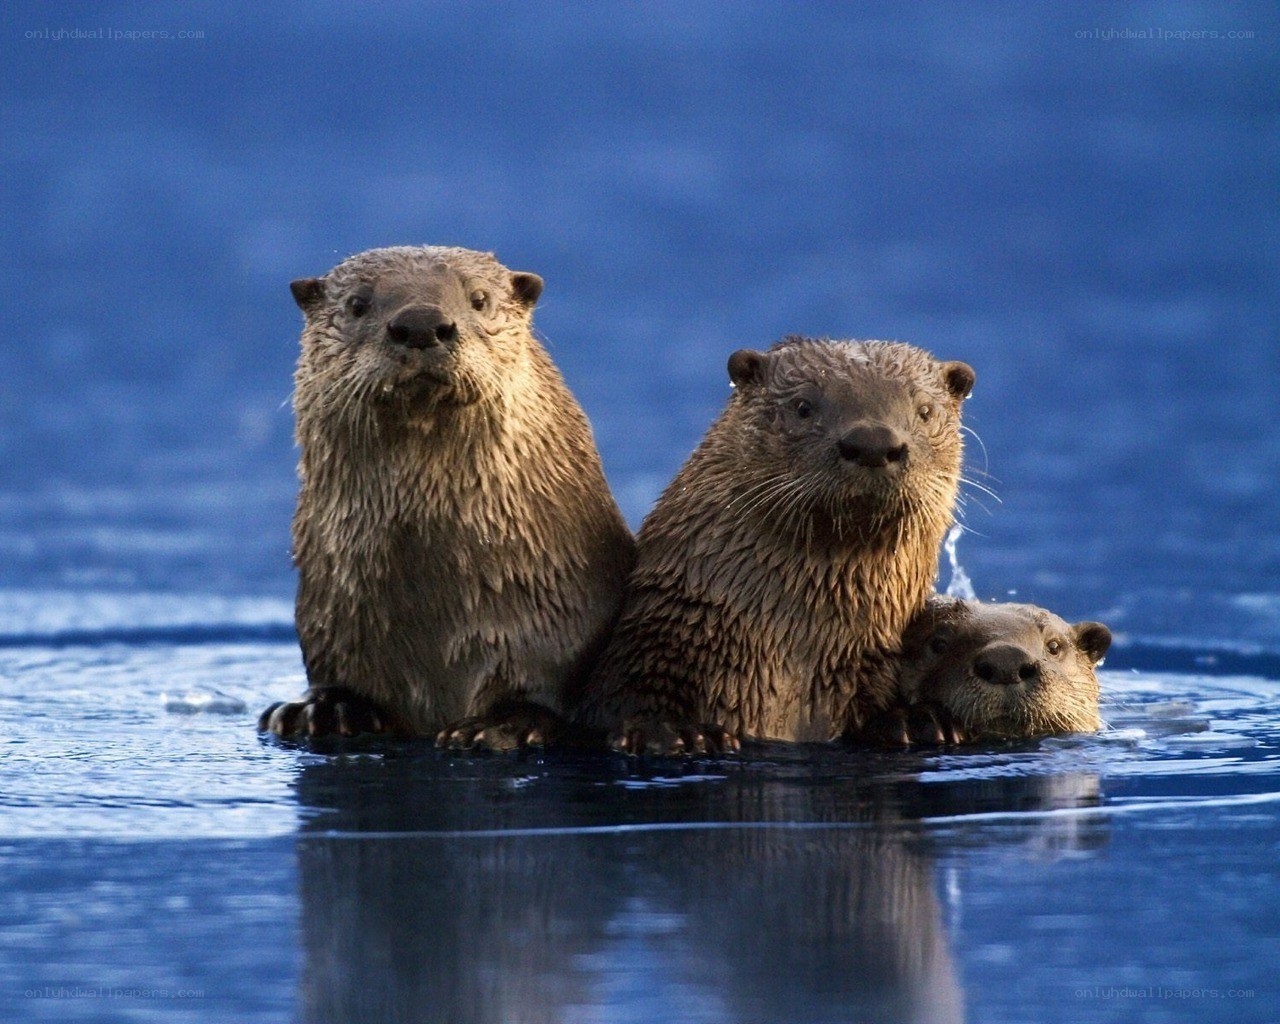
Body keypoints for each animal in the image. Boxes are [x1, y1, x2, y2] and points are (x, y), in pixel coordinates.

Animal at [573, 336, 975, 753]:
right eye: (802, 406)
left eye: (925, 410)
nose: (873, 443)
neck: (792, 655)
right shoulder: (652, 642)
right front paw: (666, 729)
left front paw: (913, 720)